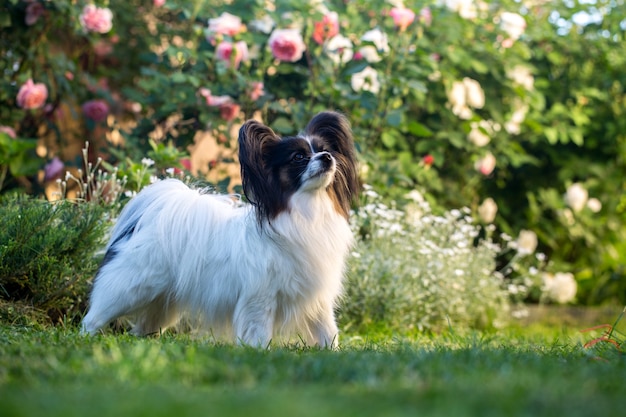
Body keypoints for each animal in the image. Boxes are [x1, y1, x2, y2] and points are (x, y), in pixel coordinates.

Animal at [80, 111, 358, 348]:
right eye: (298, 157)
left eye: (325, 150)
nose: (327, 158)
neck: (308, 212)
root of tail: (154, 215)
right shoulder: (260, 297)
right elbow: (259, 330)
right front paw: (259, 351)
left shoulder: (317, 297)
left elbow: (327, 329)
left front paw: (332, 352)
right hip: (130, 288)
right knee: (96, 313)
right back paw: (86, 336)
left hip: (162, 300)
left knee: (146, 325)